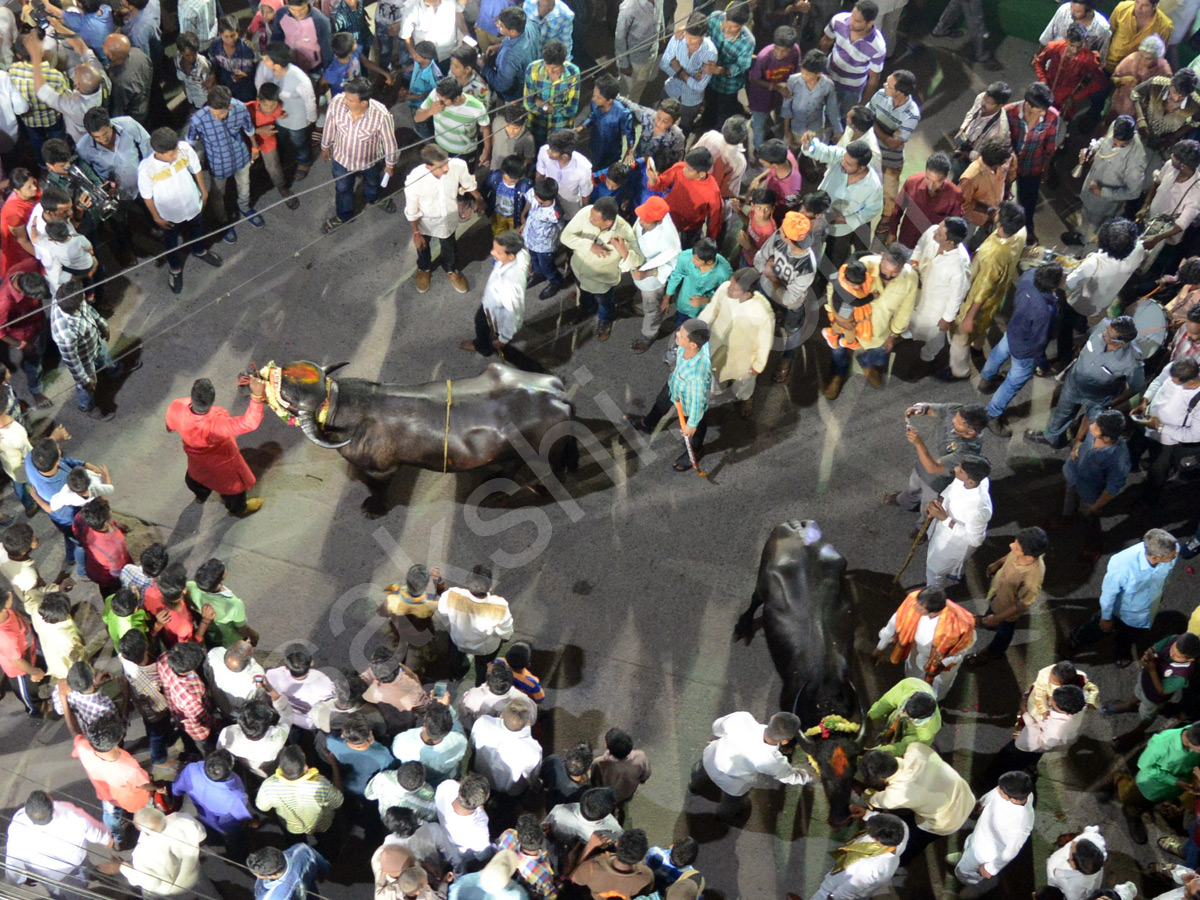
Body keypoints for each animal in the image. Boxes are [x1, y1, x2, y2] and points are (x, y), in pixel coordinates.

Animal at [267, 362, 576, 513]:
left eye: (285, 395)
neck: (347, 403)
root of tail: (556, 394)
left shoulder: (380, 469)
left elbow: (377, 489)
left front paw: (374, 508)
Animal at [729, 518, 864, 830]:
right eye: (823, 774)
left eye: (852, 773)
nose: (841, 817)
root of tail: (796, 525)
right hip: (761, 582)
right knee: (755, 599)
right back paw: (743, 626)